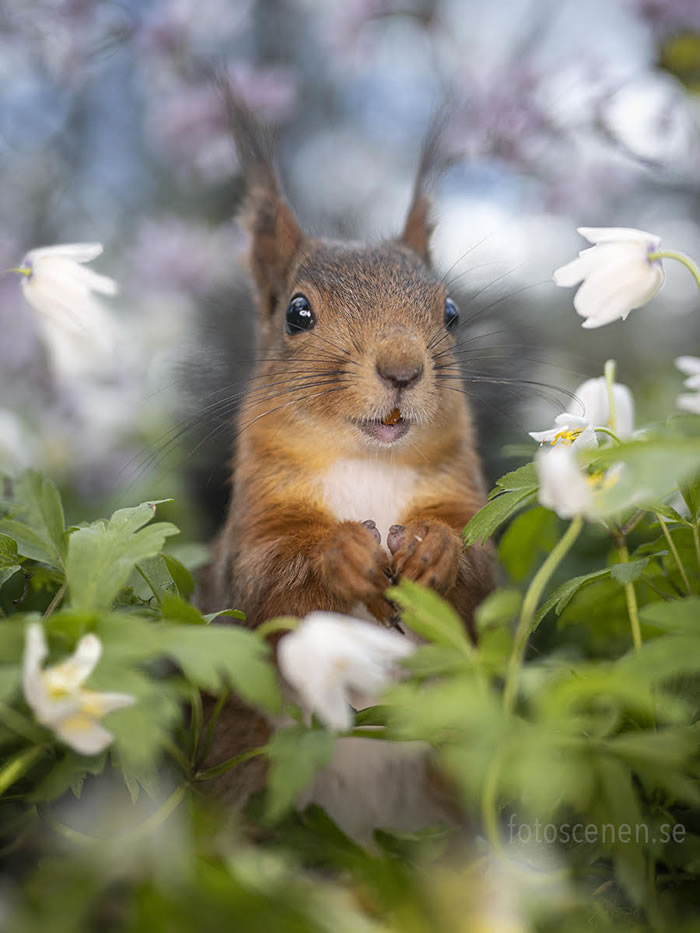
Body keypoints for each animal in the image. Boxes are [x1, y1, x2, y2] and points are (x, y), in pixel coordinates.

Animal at [202, 93, 494, 836]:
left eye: (452, 312)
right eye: (297, 313)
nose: (402, 368)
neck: (368, 463)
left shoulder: (471, 507)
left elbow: (481, 574)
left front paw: (432, 548)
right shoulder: (252, 529)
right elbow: (262, 579)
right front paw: (344, 554)